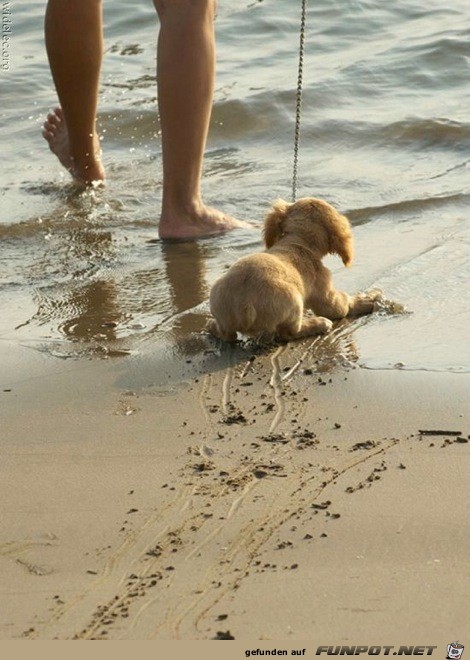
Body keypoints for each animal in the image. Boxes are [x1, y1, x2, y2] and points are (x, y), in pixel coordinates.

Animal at [207, 195, 382, 340]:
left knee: (226, 334)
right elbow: (342, 306)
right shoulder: (324, 293)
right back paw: (319, 324)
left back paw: (211, 326)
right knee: (289, 332)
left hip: (221, 309)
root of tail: (243, 304)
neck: (298, 242)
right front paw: (366, 300)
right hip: (294, 299)